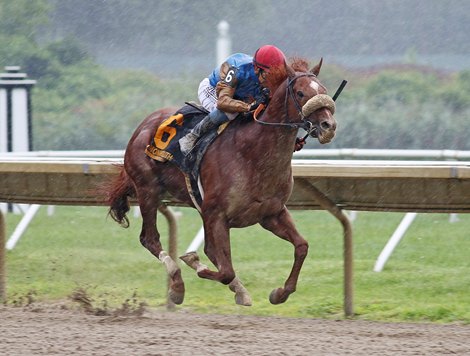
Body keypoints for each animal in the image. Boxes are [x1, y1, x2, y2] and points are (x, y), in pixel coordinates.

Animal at [106, 58, 336, 306]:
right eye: (301, 93)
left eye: (323, 90)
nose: (328, 125)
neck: (252, 153)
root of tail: (143, 125)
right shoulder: (217, 214)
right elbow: (225, 270)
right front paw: (194, 262)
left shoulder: (271, 214)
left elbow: (302, 247)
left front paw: (280, 293)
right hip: (148, 190)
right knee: (150, 239)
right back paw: (177, 285)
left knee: (210, 251)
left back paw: (238, 290)